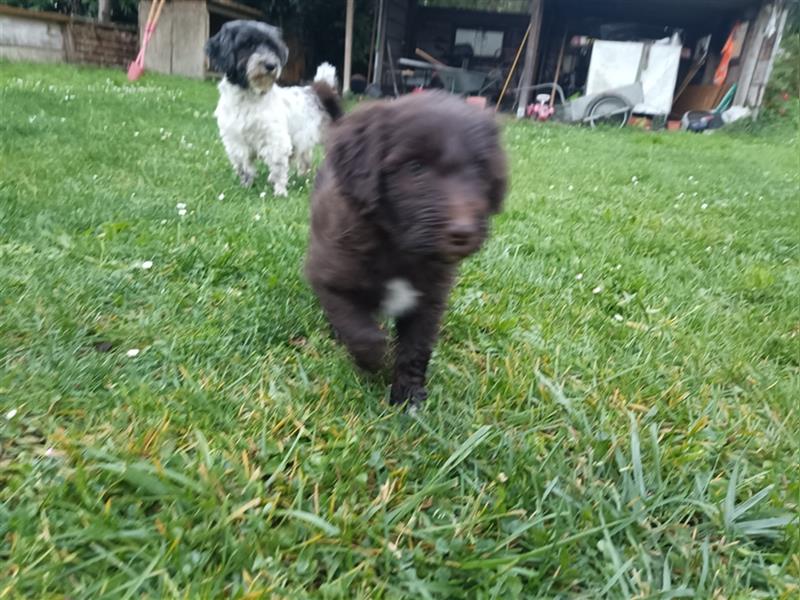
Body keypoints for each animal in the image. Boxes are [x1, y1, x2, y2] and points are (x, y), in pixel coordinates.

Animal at [206, 21, 338, 197]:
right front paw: (246, 185)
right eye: (248, 45)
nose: (271, 65)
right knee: (304, 158)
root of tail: (319, 89)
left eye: (273, 47)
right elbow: (245, 166)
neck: (249, 96)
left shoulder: (276, 139)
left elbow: (278, 167)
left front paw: (280, 192)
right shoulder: (236, 141)